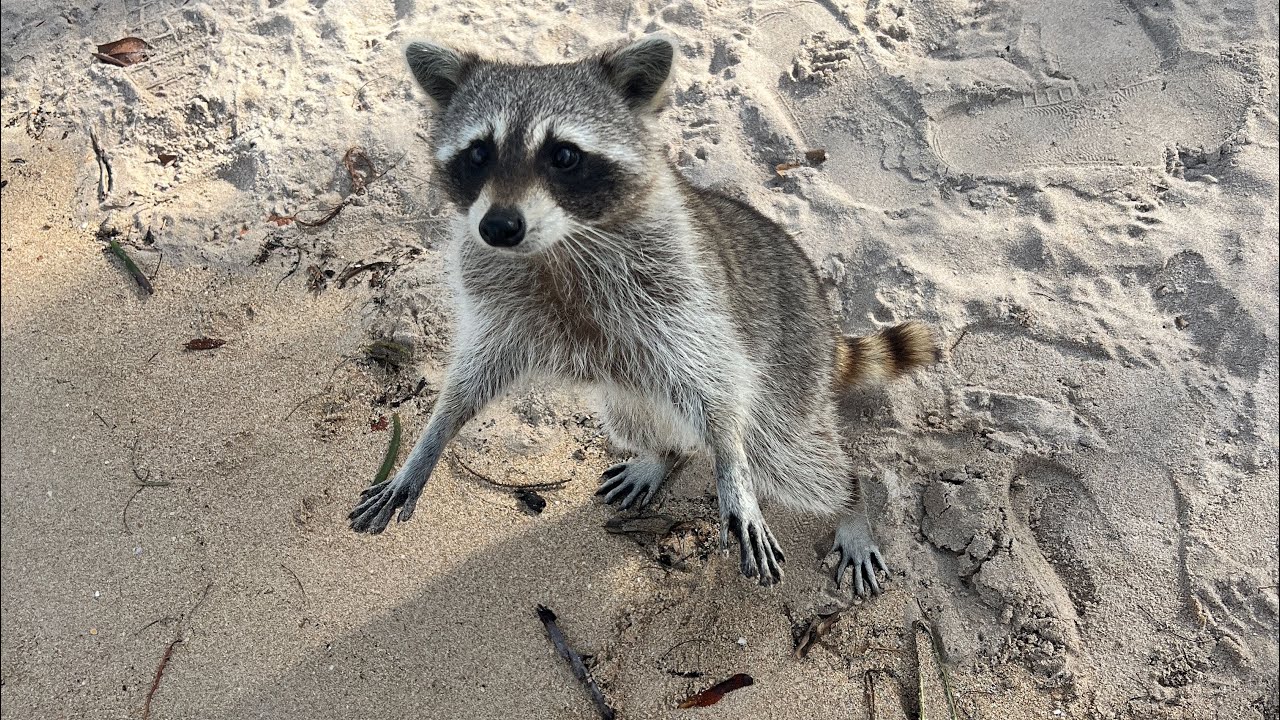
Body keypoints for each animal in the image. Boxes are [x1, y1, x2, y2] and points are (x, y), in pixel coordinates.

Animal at [349, 36, 937, 595]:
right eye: (478, 154)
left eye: (564, 156)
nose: (498, 227)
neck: (557, 244)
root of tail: (823, 314)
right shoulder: (496, 299)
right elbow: (474, 374)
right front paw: (427, 443)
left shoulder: (684, 289)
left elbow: (720, 380)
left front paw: (734, 472)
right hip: (632, 389)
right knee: (643, 418)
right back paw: (662, 453)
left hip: (791, 368)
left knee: (792, 459)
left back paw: (850, 504)